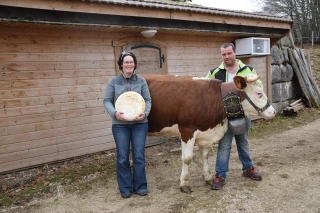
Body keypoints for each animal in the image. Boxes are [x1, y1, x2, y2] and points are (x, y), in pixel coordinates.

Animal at [142, 74, 276, 194]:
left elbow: (205, 155)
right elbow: (187, 158)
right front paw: (184, 183)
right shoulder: (187, 130)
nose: (273, 112)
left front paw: (208, 177)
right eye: (259, 93)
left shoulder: (206, 133)